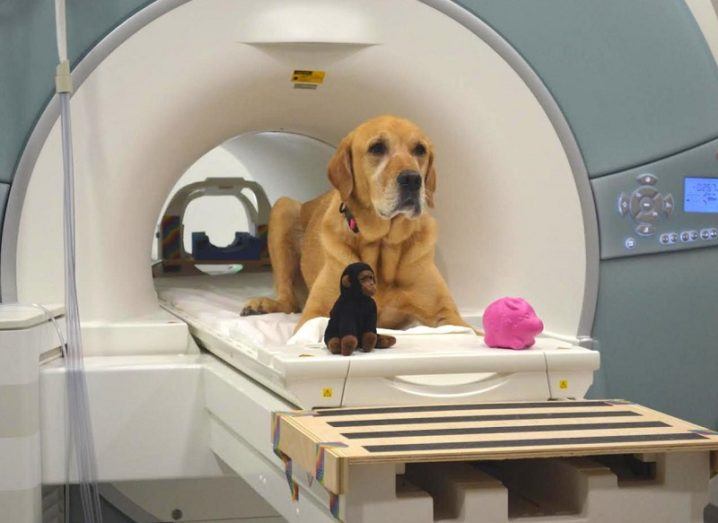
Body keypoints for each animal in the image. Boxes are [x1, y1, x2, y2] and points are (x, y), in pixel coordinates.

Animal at [243, 115, 472, 332]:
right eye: (377, 147)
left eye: (420, 149)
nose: (413, 179)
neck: (382, 243)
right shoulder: (315, 314)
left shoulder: (448, 315)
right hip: (283, 208)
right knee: (288, 301)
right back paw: (261, 304)